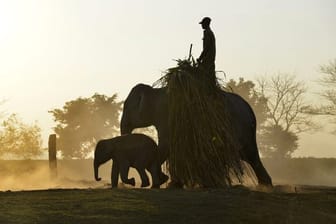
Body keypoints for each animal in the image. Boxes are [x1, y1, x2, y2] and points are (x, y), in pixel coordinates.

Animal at [121, 83, 272, 186]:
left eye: (126, 106)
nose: (131, 181)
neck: (154, 91)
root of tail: (250, 109)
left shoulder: (166, 115)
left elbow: (166, 144)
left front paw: (165, 181)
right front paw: (170, 182)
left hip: (238, 128)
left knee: (246, 155)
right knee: (249, 156)